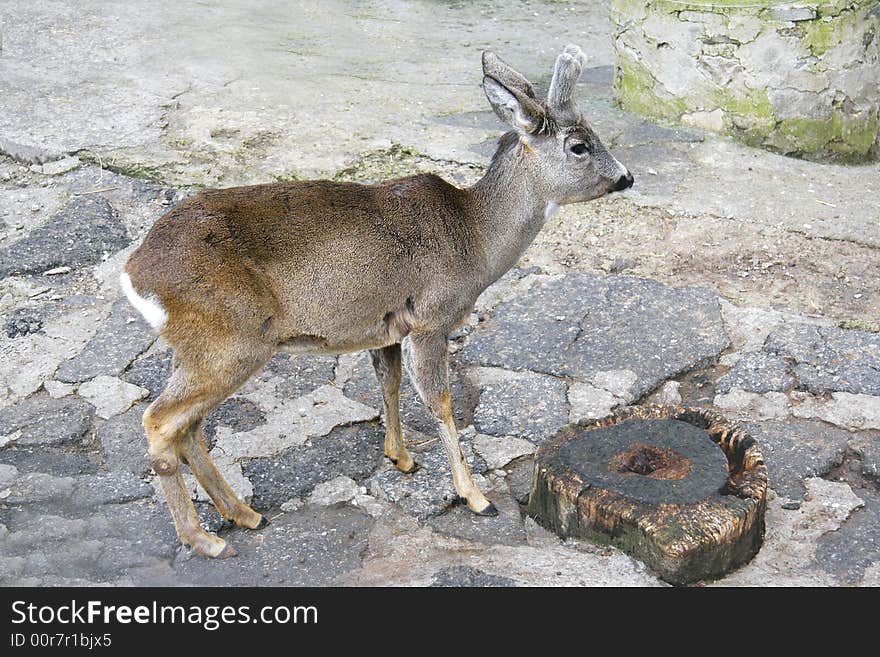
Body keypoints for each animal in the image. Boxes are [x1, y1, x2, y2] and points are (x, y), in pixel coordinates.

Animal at [122, 44, 632, 560]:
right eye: (579, 145)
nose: (626, 177)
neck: (475, 238)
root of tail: (135, 274)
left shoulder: (386, 325)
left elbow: (390, 384)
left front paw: (401, 458)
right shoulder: (430, 318)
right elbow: (439, 401)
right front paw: (476, 496)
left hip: (198, 349)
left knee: (188, 426)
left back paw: (244, 514)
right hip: (231, 343)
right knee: (160, 421)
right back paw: (204, 538)